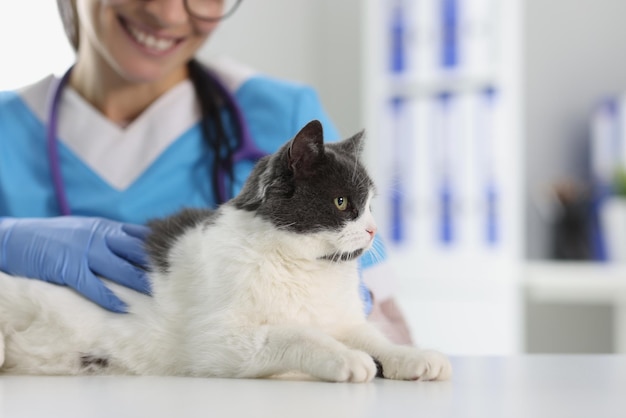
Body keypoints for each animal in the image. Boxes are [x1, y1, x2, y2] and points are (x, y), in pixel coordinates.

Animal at [0, 118, 448, 382]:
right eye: (342, 203)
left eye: (370, 204)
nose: (373, 230)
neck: (304, 269)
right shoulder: (221, 342)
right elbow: (295, 333)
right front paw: (345, 359)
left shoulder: (345, 320)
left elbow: (376, 337)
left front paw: (412, 357)